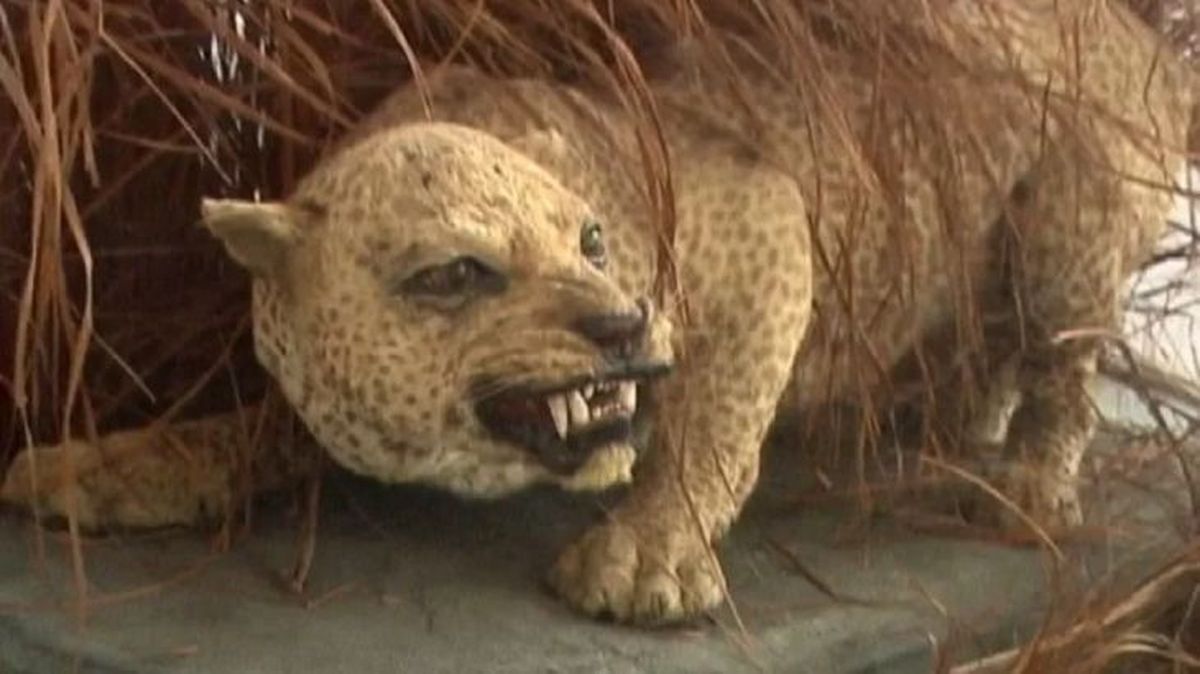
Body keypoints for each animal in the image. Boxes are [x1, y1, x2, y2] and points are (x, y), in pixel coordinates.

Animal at [3, 0, 1195, 626]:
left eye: (590, 244)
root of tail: (1142, 40)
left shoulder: (765, 212)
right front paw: (106, 465)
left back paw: (1025, 488)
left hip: (1069, 230)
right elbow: (250, 429)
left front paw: (647, 555)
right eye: (455, 274)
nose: (620, 324)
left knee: (1067, 365)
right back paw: (941, 430)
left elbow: (717, 422)